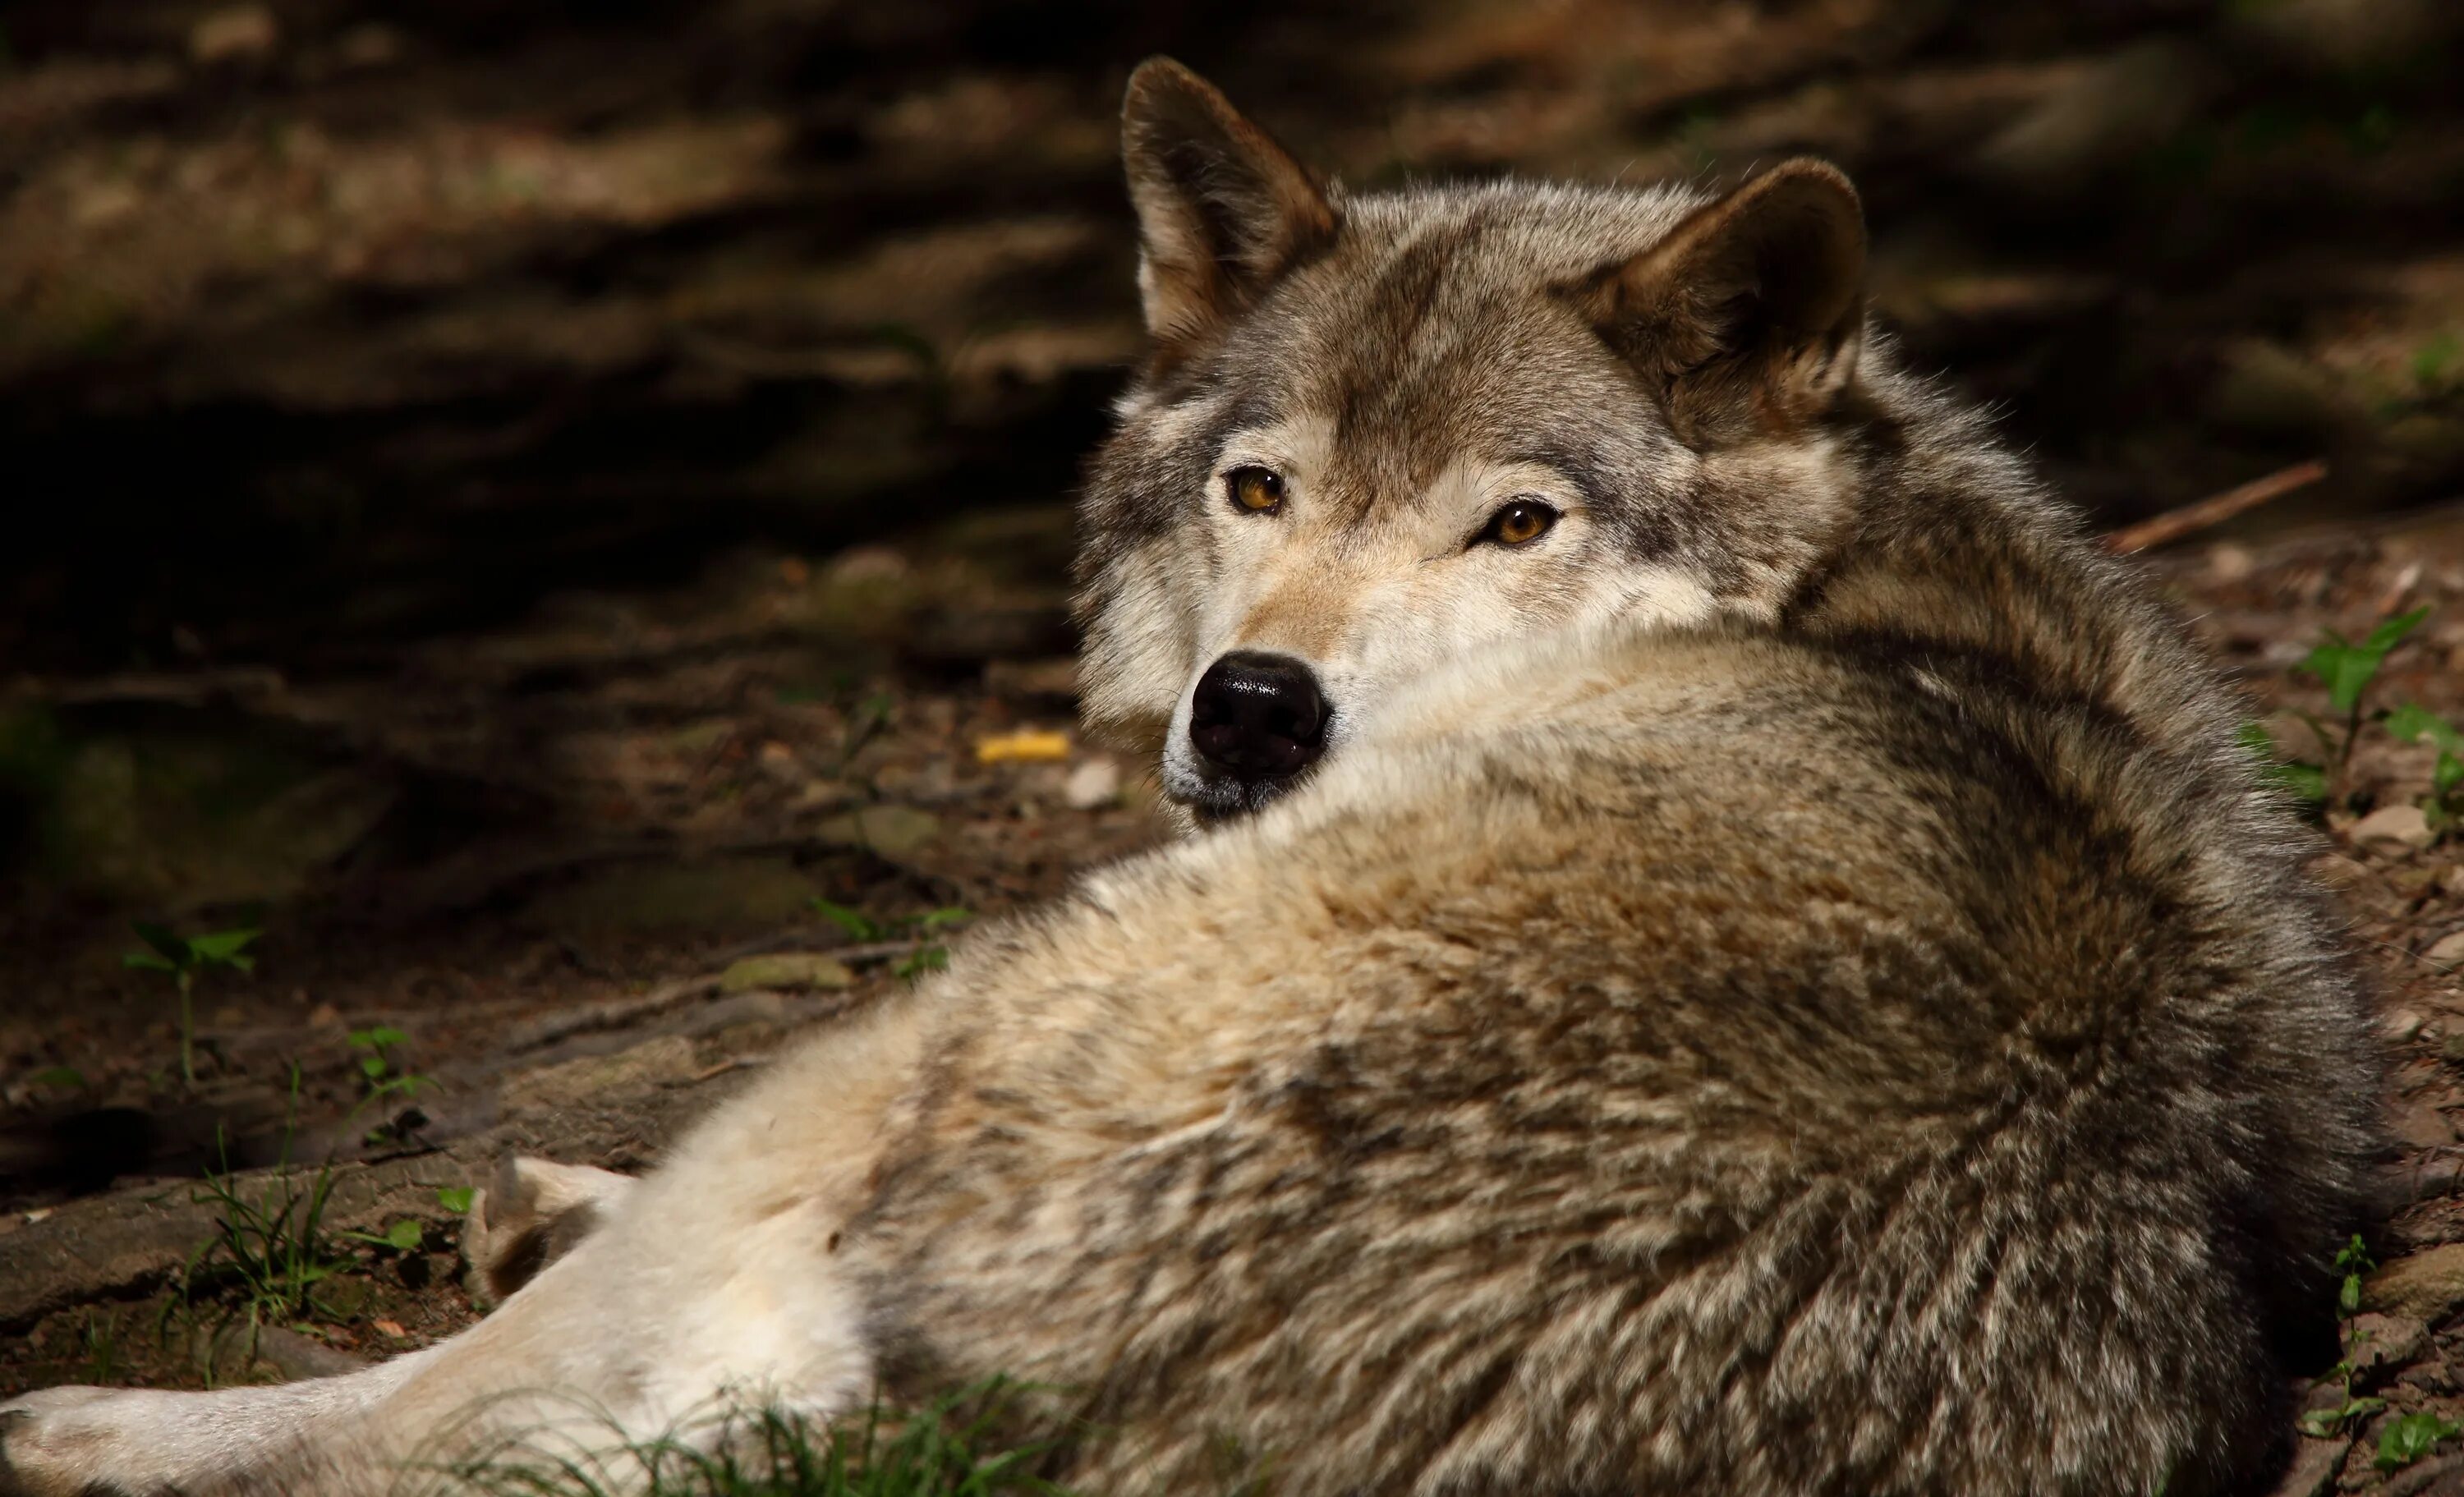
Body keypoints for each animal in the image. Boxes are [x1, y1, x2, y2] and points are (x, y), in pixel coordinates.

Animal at [4, 55, 2385, 1496]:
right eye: (1261, 486)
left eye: (1513, 523)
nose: (1253, 709)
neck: (1857, 582)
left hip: (905, 1033)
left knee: (435, 1412)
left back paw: (93, 1418)